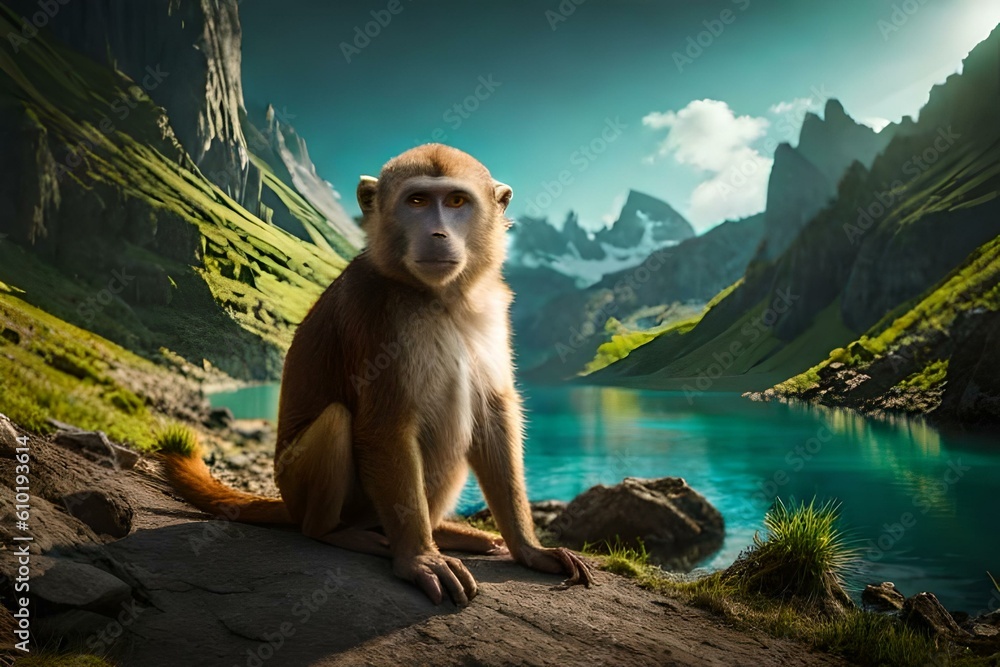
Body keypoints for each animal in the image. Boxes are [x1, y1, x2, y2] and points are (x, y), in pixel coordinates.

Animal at [160, 144, 593, 605]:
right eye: (417, 201)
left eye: (456, 201)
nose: (438, 234)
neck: (439, 298)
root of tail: (290, 503)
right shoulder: (373, 314)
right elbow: (385, 425)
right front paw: (419, 559)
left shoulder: (491, 311)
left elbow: (492, 414)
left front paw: (529, 549)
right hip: (306, 486)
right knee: (339, 425)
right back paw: (337, 533)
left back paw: (441, 531)